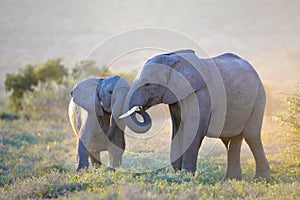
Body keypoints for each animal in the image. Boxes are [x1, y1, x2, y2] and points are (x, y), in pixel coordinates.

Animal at [119, 49, 272, 180]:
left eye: (148, 85)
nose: (140, 108)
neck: (174, 60)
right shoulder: (176, 98)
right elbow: (178, 130)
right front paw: (178, 172)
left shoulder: (201, 94)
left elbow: (192, 131)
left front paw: (186, 176)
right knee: (234, 140)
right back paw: (232, 180)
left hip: (259, 98)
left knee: (252, 136)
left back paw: (261, 180)